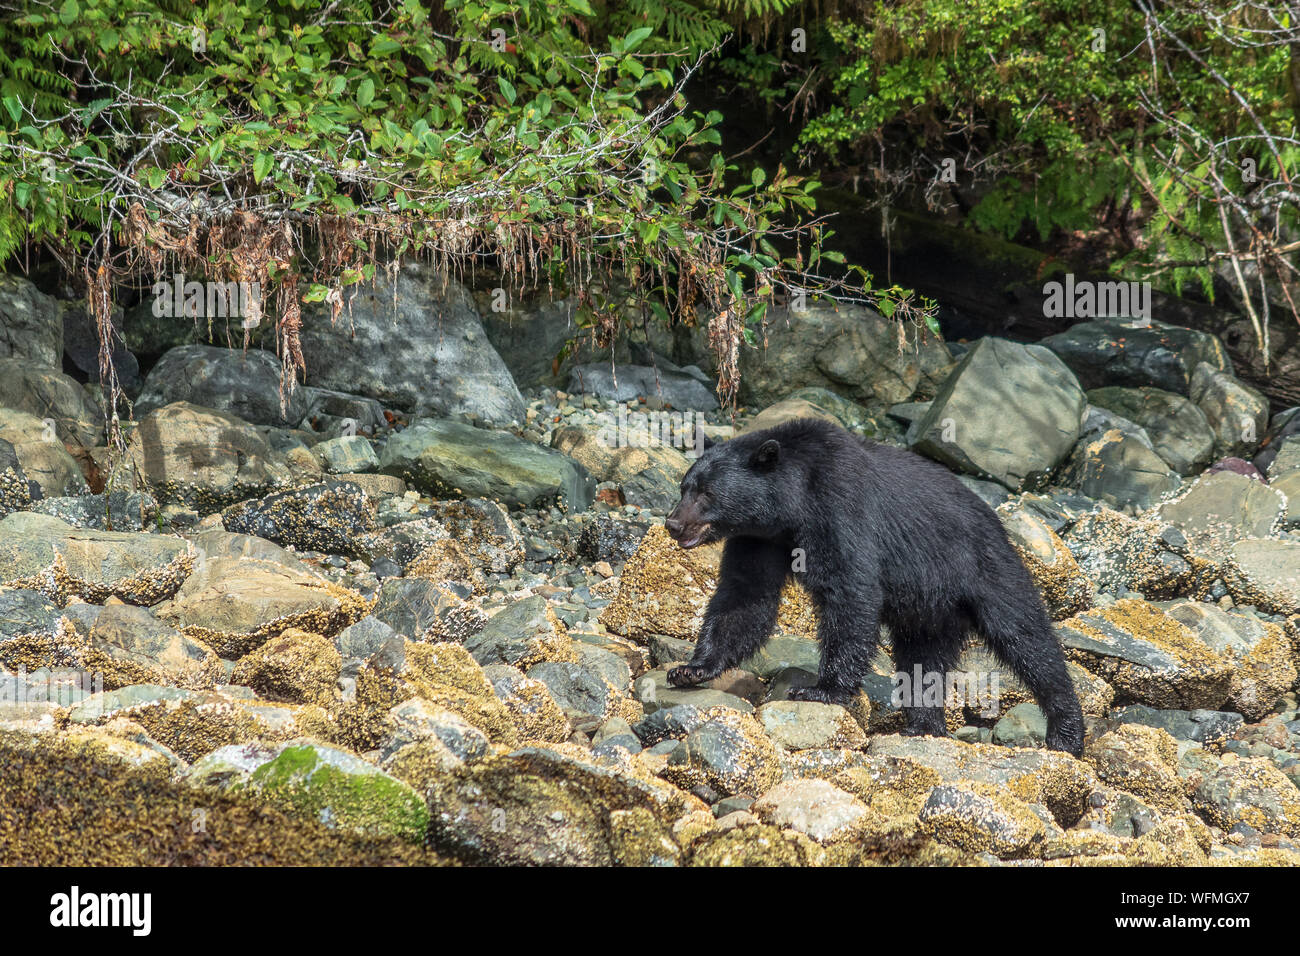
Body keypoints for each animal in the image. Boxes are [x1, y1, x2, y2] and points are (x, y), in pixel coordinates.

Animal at [665, 418, 1081, 754]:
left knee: (1026, 637)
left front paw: (821, 689)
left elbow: (850, 592)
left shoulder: (840, 510)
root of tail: (998, 523)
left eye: (706, 492)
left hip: (986, 569)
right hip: (930, 610)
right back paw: (923, 725)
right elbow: (745, 597)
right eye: (685, 486)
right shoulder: (758, 538)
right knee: (922, 660)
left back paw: (1066, 731)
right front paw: (691, 669)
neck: (791, 505)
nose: (672, 524)